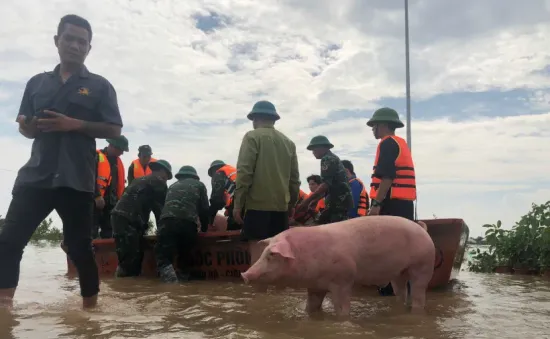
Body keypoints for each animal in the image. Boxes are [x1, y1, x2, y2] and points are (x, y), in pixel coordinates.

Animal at [240, 216, 436, 318]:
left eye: (271, 255)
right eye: (264, 252)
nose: (245, 274)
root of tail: (423, 229)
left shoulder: (343, 280)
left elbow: (342, 310)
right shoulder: (315, 286)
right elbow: (311, 307)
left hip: (424, 265)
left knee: (419, 293)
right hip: (398, 273)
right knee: (401, 292)